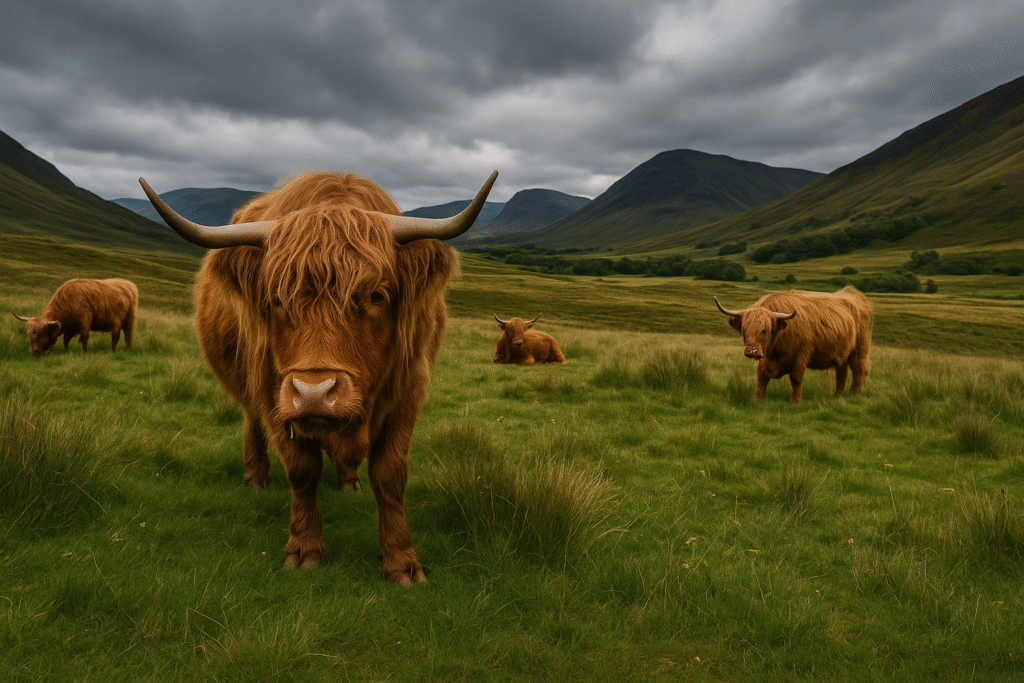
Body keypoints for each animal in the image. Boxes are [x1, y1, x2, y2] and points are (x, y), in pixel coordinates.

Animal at [140, 169, 497, 584]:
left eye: (376, 296)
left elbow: (390, 475)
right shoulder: (276, 394)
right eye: (276, 299)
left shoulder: (408, 388)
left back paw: (348, 480)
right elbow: (302, 471)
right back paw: (256, 478)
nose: (314, 393)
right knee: (252, 422)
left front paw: (401, 561)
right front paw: (303, 548)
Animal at [714, 285, 873, 403]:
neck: (775, 352)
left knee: (859, 370)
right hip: (843, 352)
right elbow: (761, 376)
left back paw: (854, 395)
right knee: (841, 373)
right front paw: (757, 398)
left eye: (765, 330)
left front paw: (796, 401)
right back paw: (837, 396)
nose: (752, 351)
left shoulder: (801, 355)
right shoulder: (765, 358)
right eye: (744, 329)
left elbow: (796, 378)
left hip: (861, 348)